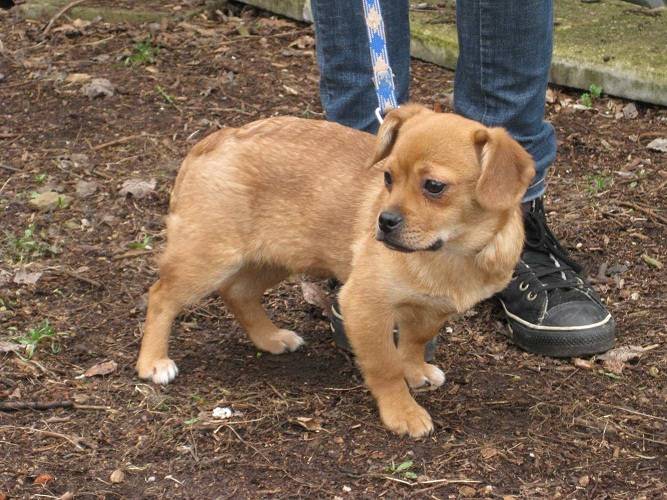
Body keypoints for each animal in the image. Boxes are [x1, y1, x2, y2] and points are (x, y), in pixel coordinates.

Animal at [136, 104, 535, 437]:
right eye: (388, 178)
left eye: (434, 186)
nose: (383, 222)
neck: (450, 254)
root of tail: (215, 139)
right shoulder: (364, 305)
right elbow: (386, 366)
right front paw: (402, 412)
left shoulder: (431, 310)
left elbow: (413, 343)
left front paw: (416, 371)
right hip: (210, 258)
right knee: (161, 296)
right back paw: (153, 361)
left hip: (274, 258)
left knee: (238, 293)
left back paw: (270, 338)